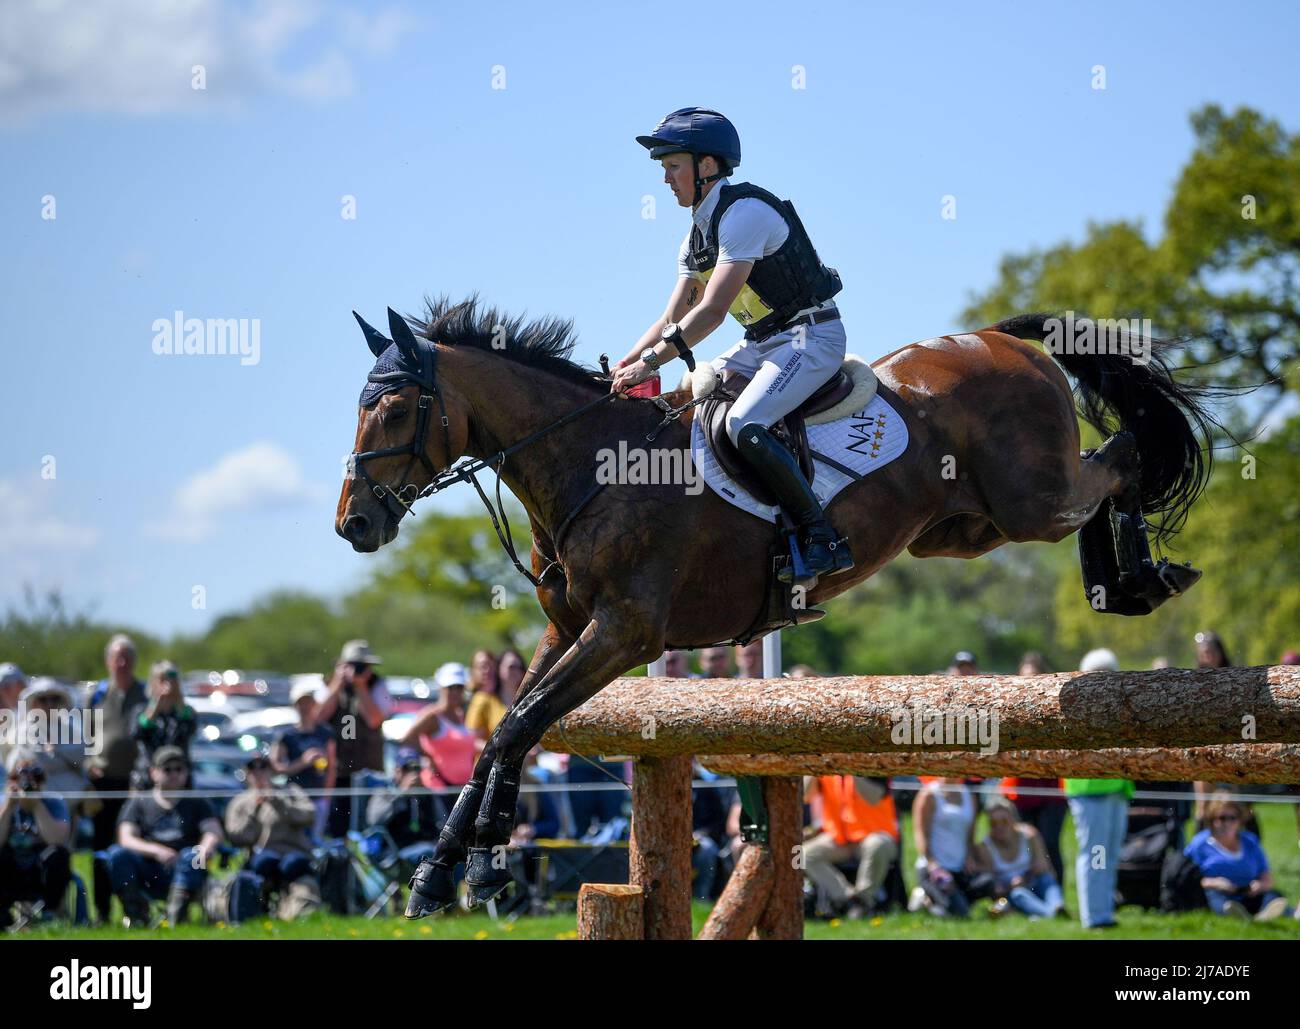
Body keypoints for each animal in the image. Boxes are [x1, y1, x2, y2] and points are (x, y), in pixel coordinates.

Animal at [335, 294, 1216, 909]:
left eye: (398, 407)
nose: (355, 524)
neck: (592, 465)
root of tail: (998, 338)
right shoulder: (566, 631)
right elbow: (501, 735)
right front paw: (440, 874)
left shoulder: (625, 633)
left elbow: (519, 724)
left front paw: (483, 868)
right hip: (962, 528)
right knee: (1101, 469)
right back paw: (1126, 580)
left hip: (1032, 498)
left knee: (1118, 458)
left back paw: (1143, 579)